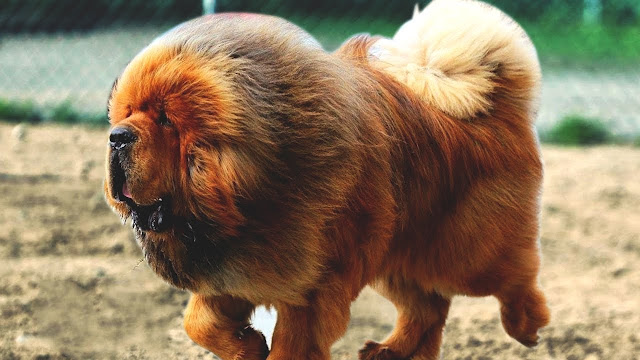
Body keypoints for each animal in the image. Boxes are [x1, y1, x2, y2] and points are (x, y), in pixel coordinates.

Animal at [105, 1, 552, 358]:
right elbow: (197, 323)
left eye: (166, 119)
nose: (116, 137)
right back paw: (390, 351)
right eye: (127, 113)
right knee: (429, 309)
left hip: (465, 251)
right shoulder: (234, 275)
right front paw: (246, 346)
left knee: (516, 278)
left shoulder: (312, 289)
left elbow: (289, 347)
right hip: (396, 254)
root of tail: (496, 104)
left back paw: (527, 328)